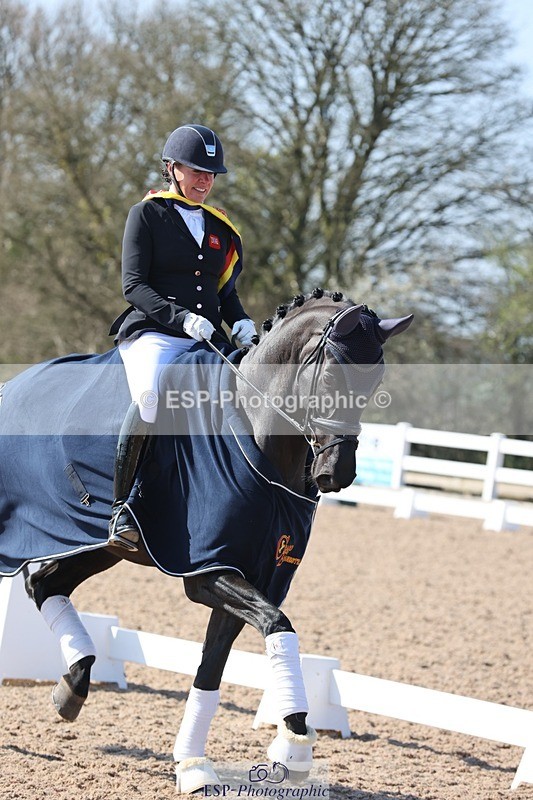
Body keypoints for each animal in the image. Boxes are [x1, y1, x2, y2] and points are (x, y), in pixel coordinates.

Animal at [0, 288, 412, 792]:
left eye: (377, 381)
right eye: (333, 371)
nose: (338, 474)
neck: (253, 432)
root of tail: (11, 388)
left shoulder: (256, 576)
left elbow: (215, 669)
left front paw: (195, 764)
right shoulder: (209, 569)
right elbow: (278, 625)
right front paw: (294, 745)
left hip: (100, 545)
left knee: (44, 584)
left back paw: (72, 687)